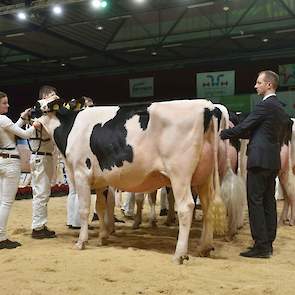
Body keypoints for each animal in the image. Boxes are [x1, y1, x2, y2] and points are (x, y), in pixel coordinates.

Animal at [33, 96, 227, 264]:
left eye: (35, 106)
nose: (26, 114)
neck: (71, 127)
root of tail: (207, 106)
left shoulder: (81, 173)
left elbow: (84, 209)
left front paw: (81, 241)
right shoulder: (101, 180)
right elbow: (101, 207)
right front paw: (103, 237)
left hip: (180, 174)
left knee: (186, 207)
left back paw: (179, 254)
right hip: (204, 177)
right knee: (208, 206)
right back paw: (204, 247)